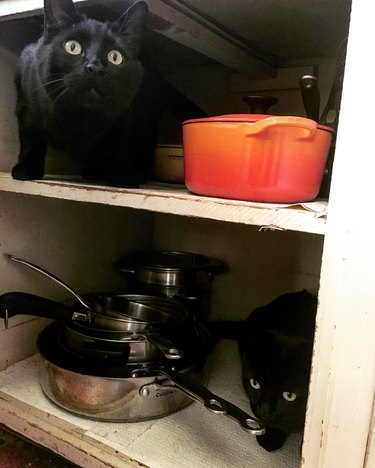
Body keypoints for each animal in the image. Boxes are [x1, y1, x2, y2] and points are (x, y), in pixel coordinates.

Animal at [11, 0, 206, 186]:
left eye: (115, 57)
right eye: (72, 47)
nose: (95, 68)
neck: (79, 116)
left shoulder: (126, 117)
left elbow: (121, 147)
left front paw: (122, 176)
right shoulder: (26, 108)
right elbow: (30, 142)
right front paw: (25, 170)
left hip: (148, 118)